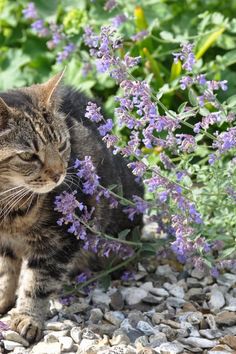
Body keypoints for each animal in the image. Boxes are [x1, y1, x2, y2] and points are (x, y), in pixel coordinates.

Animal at [0, 72, 143, 342]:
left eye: (62, 145)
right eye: (28, 156)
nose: (59, 174)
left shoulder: (61, 241)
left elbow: (37, 284)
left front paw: (27, 317)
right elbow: (5, 272)